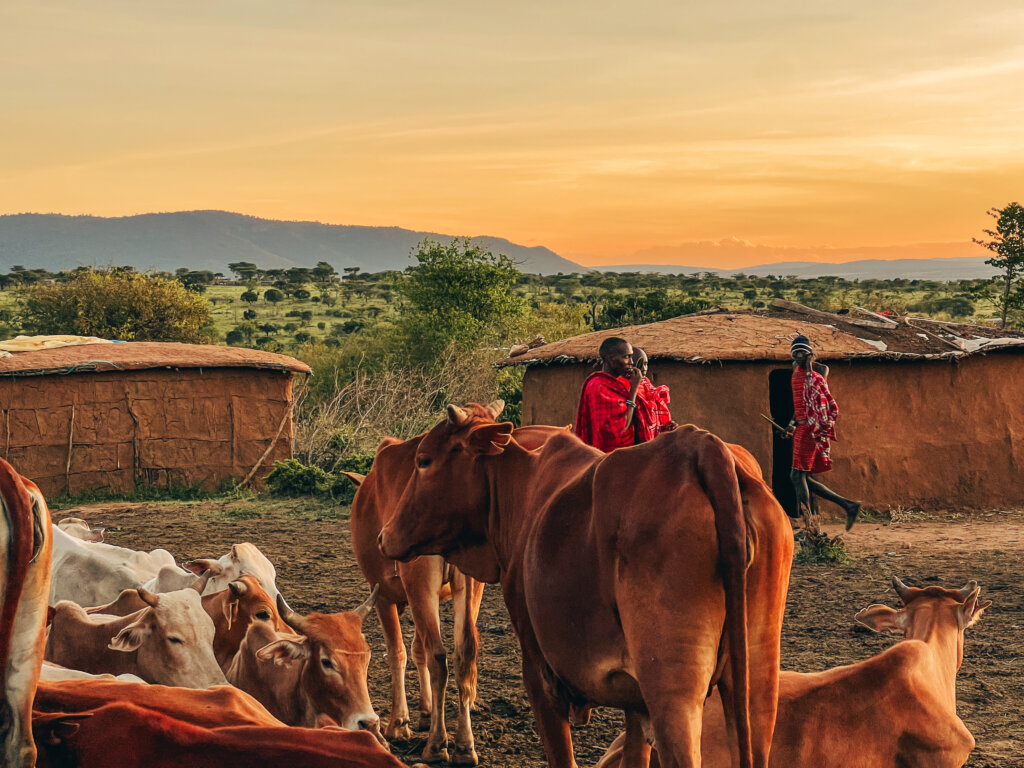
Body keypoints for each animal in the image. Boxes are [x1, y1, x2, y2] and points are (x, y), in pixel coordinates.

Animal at [380, 403, 794, 768]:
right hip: (756, 684)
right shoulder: (635, 701)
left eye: (423, 460)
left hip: (673, 692)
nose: (385, 536)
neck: (522, 485)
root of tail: (701, 447)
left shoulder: (541, 673)